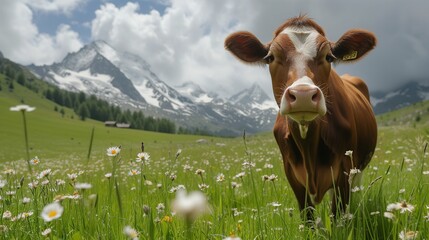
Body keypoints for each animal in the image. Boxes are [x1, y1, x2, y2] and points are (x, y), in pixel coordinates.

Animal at [226, 15, 376, 221]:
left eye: (329, 57)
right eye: (270, 57)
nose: (303, 94)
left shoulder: (345, 171)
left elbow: (337, 216)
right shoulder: (292, 174)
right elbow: (309, 218)